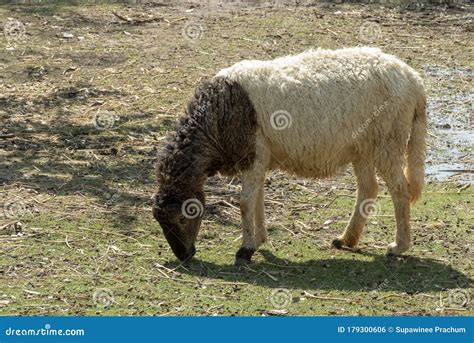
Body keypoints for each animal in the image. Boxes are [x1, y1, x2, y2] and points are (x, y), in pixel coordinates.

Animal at [154, 46, 428, 266]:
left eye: (182, 218)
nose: (184, 255)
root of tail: (413, 80)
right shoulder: (259, 159)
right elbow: (257, 199)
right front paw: (259, 240)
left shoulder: (254, 154)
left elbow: (244, 203)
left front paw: (245, 250)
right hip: (363, 147)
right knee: (369, 188)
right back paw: (347, 239)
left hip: (388, 140)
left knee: (400, 190)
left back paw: (398, 246)